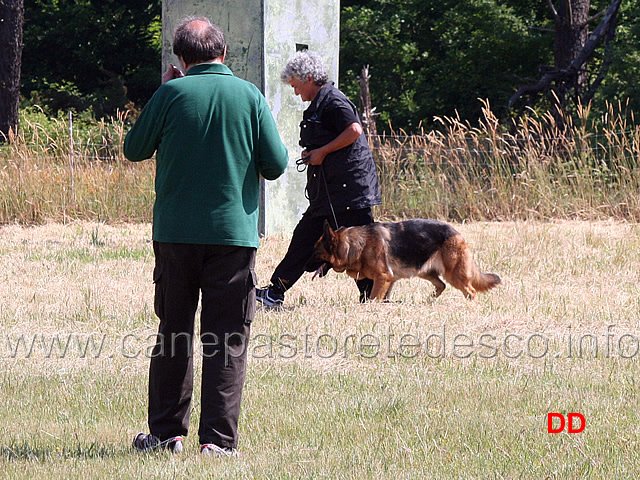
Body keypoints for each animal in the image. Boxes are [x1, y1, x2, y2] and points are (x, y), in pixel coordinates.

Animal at [310, 218, 500, 300]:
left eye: (315, 253)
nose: (305, 265)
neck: (354, 246)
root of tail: (457, 233)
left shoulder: (383, 277)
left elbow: (373, 298)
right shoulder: (388, 280)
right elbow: (382, 298)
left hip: (454, 274)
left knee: (470, 291)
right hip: (425, 272)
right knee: (441, 285)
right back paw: (428, 301)